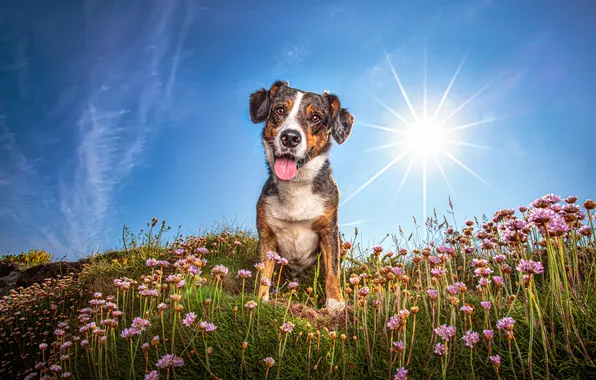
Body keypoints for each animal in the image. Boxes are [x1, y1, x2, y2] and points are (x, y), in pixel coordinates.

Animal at [247, 80, 354, 312]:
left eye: (315, 117)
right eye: (279, 110)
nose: (290, 138)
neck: (296, 185)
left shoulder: (329, 231)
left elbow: (332, 271)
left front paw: (335, 304)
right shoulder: (267, 234)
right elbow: (263, 272)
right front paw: (259, 300)